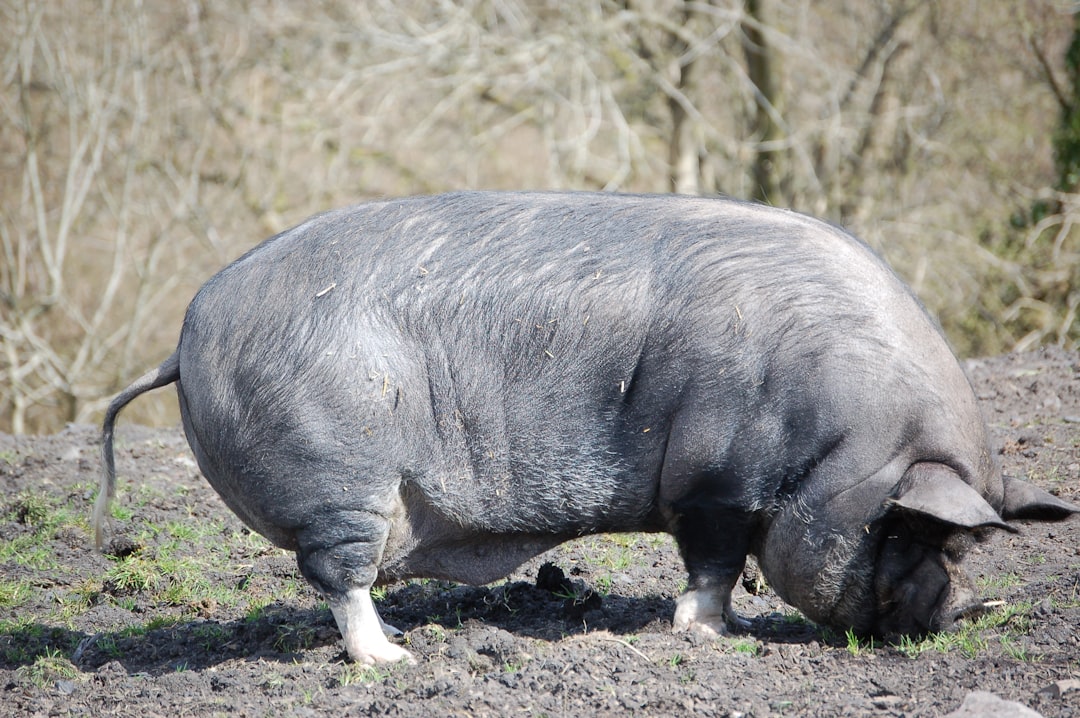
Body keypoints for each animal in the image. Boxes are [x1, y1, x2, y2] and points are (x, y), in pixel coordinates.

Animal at [95, 191, 1078, 665]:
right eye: (912, 533)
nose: (953, 614)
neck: (839, 445)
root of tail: (187, 333)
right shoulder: (714, 479)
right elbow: (711, 562)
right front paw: (717, 637)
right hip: (339, 479)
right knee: (340, 577)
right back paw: (394, 663)